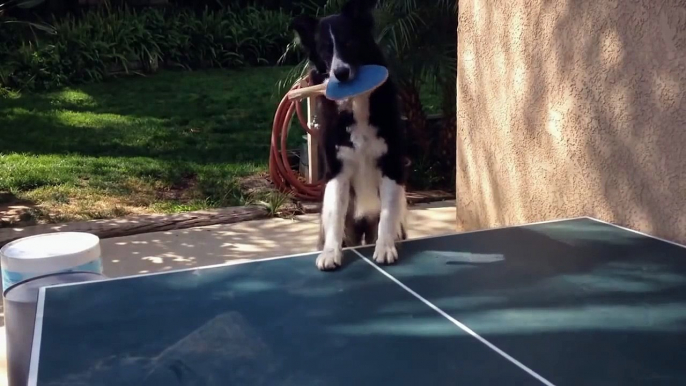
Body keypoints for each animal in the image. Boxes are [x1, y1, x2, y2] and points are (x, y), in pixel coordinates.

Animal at [290, 0, 408, 272]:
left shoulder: (391, 165)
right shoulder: (337, 171)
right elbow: (335, 216)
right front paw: (330, 253)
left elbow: (388, 214)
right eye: (325, 49)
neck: (356, 103)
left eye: (350, 42)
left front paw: (385, 247)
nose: (341, 73)